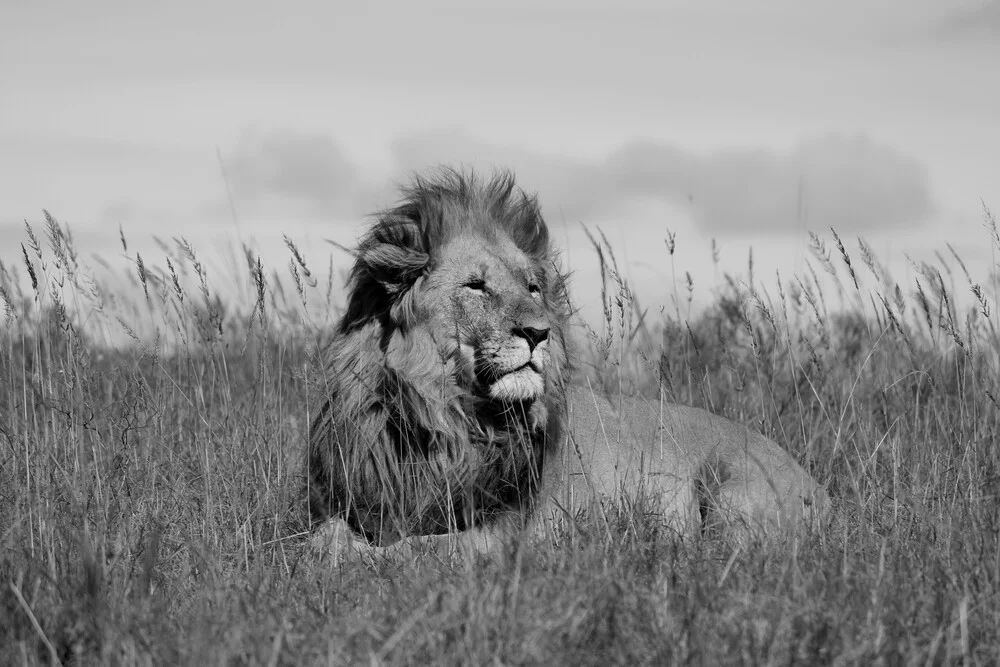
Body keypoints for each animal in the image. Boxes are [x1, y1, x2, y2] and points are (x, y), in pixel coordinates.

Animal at [306, 170, 828, 560]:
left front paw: (356, 558)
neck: (442, 418)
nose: (540, 334)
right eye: (476, 286)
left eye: (532, 288)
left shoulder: (506, 533)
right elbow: (325, 532)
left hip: (731, 490)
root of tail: (820, 488)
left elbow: (420, 549)